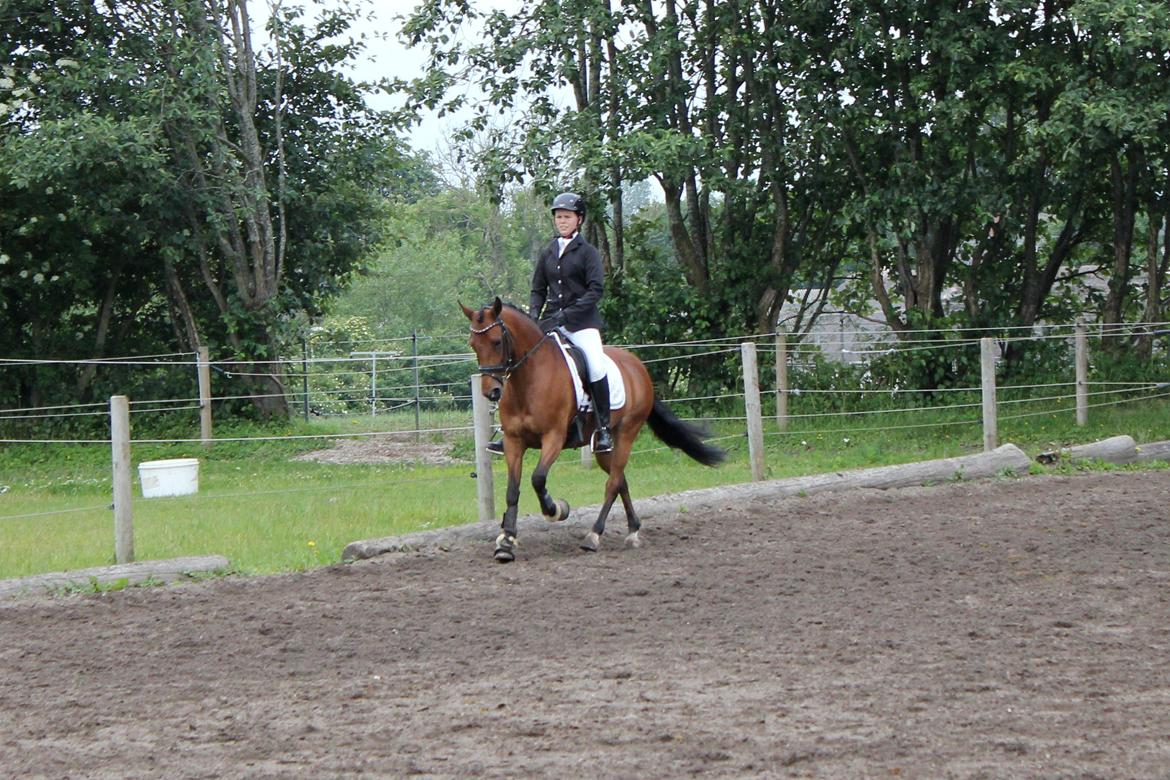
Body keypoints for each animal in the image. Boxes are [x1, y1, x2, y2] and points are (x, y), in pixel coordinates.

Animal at [461, 297, 725, 562]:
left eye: (496, 341)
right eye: (473, 345)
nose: (491, 392)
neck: (529, 379)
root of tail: (638, 366)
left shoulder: (553, 438)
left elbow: (538, 479)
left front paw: (557, 510)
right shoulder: (514, 441)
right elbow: (512, 491)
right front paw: (506, 542)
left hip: (627, 433)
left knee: (612, 483)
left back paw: (593, 536)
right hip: (602, 447)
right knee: (620, 480)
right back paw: (633, 530)